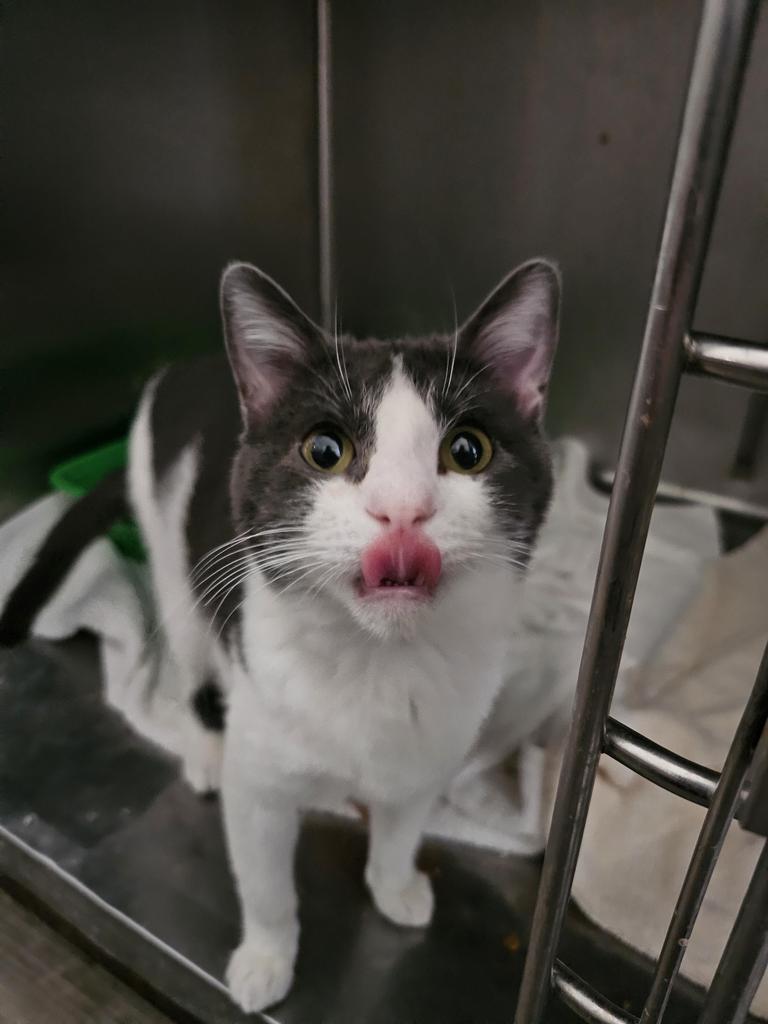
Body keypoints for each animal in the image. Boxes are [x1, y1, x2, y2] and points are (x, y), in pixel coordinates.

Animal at [1, 260, 565, 1011]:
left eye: (468, 450)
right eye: (325, 450)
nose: (402, 511)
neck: (376, 662)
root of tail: (186, 368)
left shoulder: (429, 750)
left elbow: (401, 828)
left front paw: (394, 886)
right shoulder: (261, 782)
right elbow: (266, 884)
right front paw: (266, 961)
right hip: (175, 562)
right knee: (193, 668)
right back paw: (205, 749)